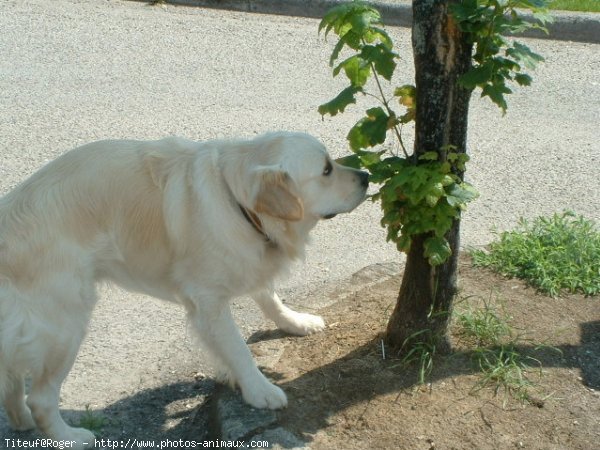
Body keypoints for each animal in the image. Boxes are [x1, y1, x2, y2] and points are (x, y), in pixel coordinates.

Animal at [0, 131, 370, 446]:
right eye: (326, 170)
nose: (367, 175)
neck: (237, 202)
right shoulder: (208, 301)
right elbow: (239, 349)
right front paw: (258, 390)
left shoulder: (244, 260)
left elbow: (269, 297)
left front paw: (295, 322)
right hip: (66, 325)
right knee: (40, 398)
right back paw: (70, 438)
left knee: (11, 383)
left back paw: (21, 423)